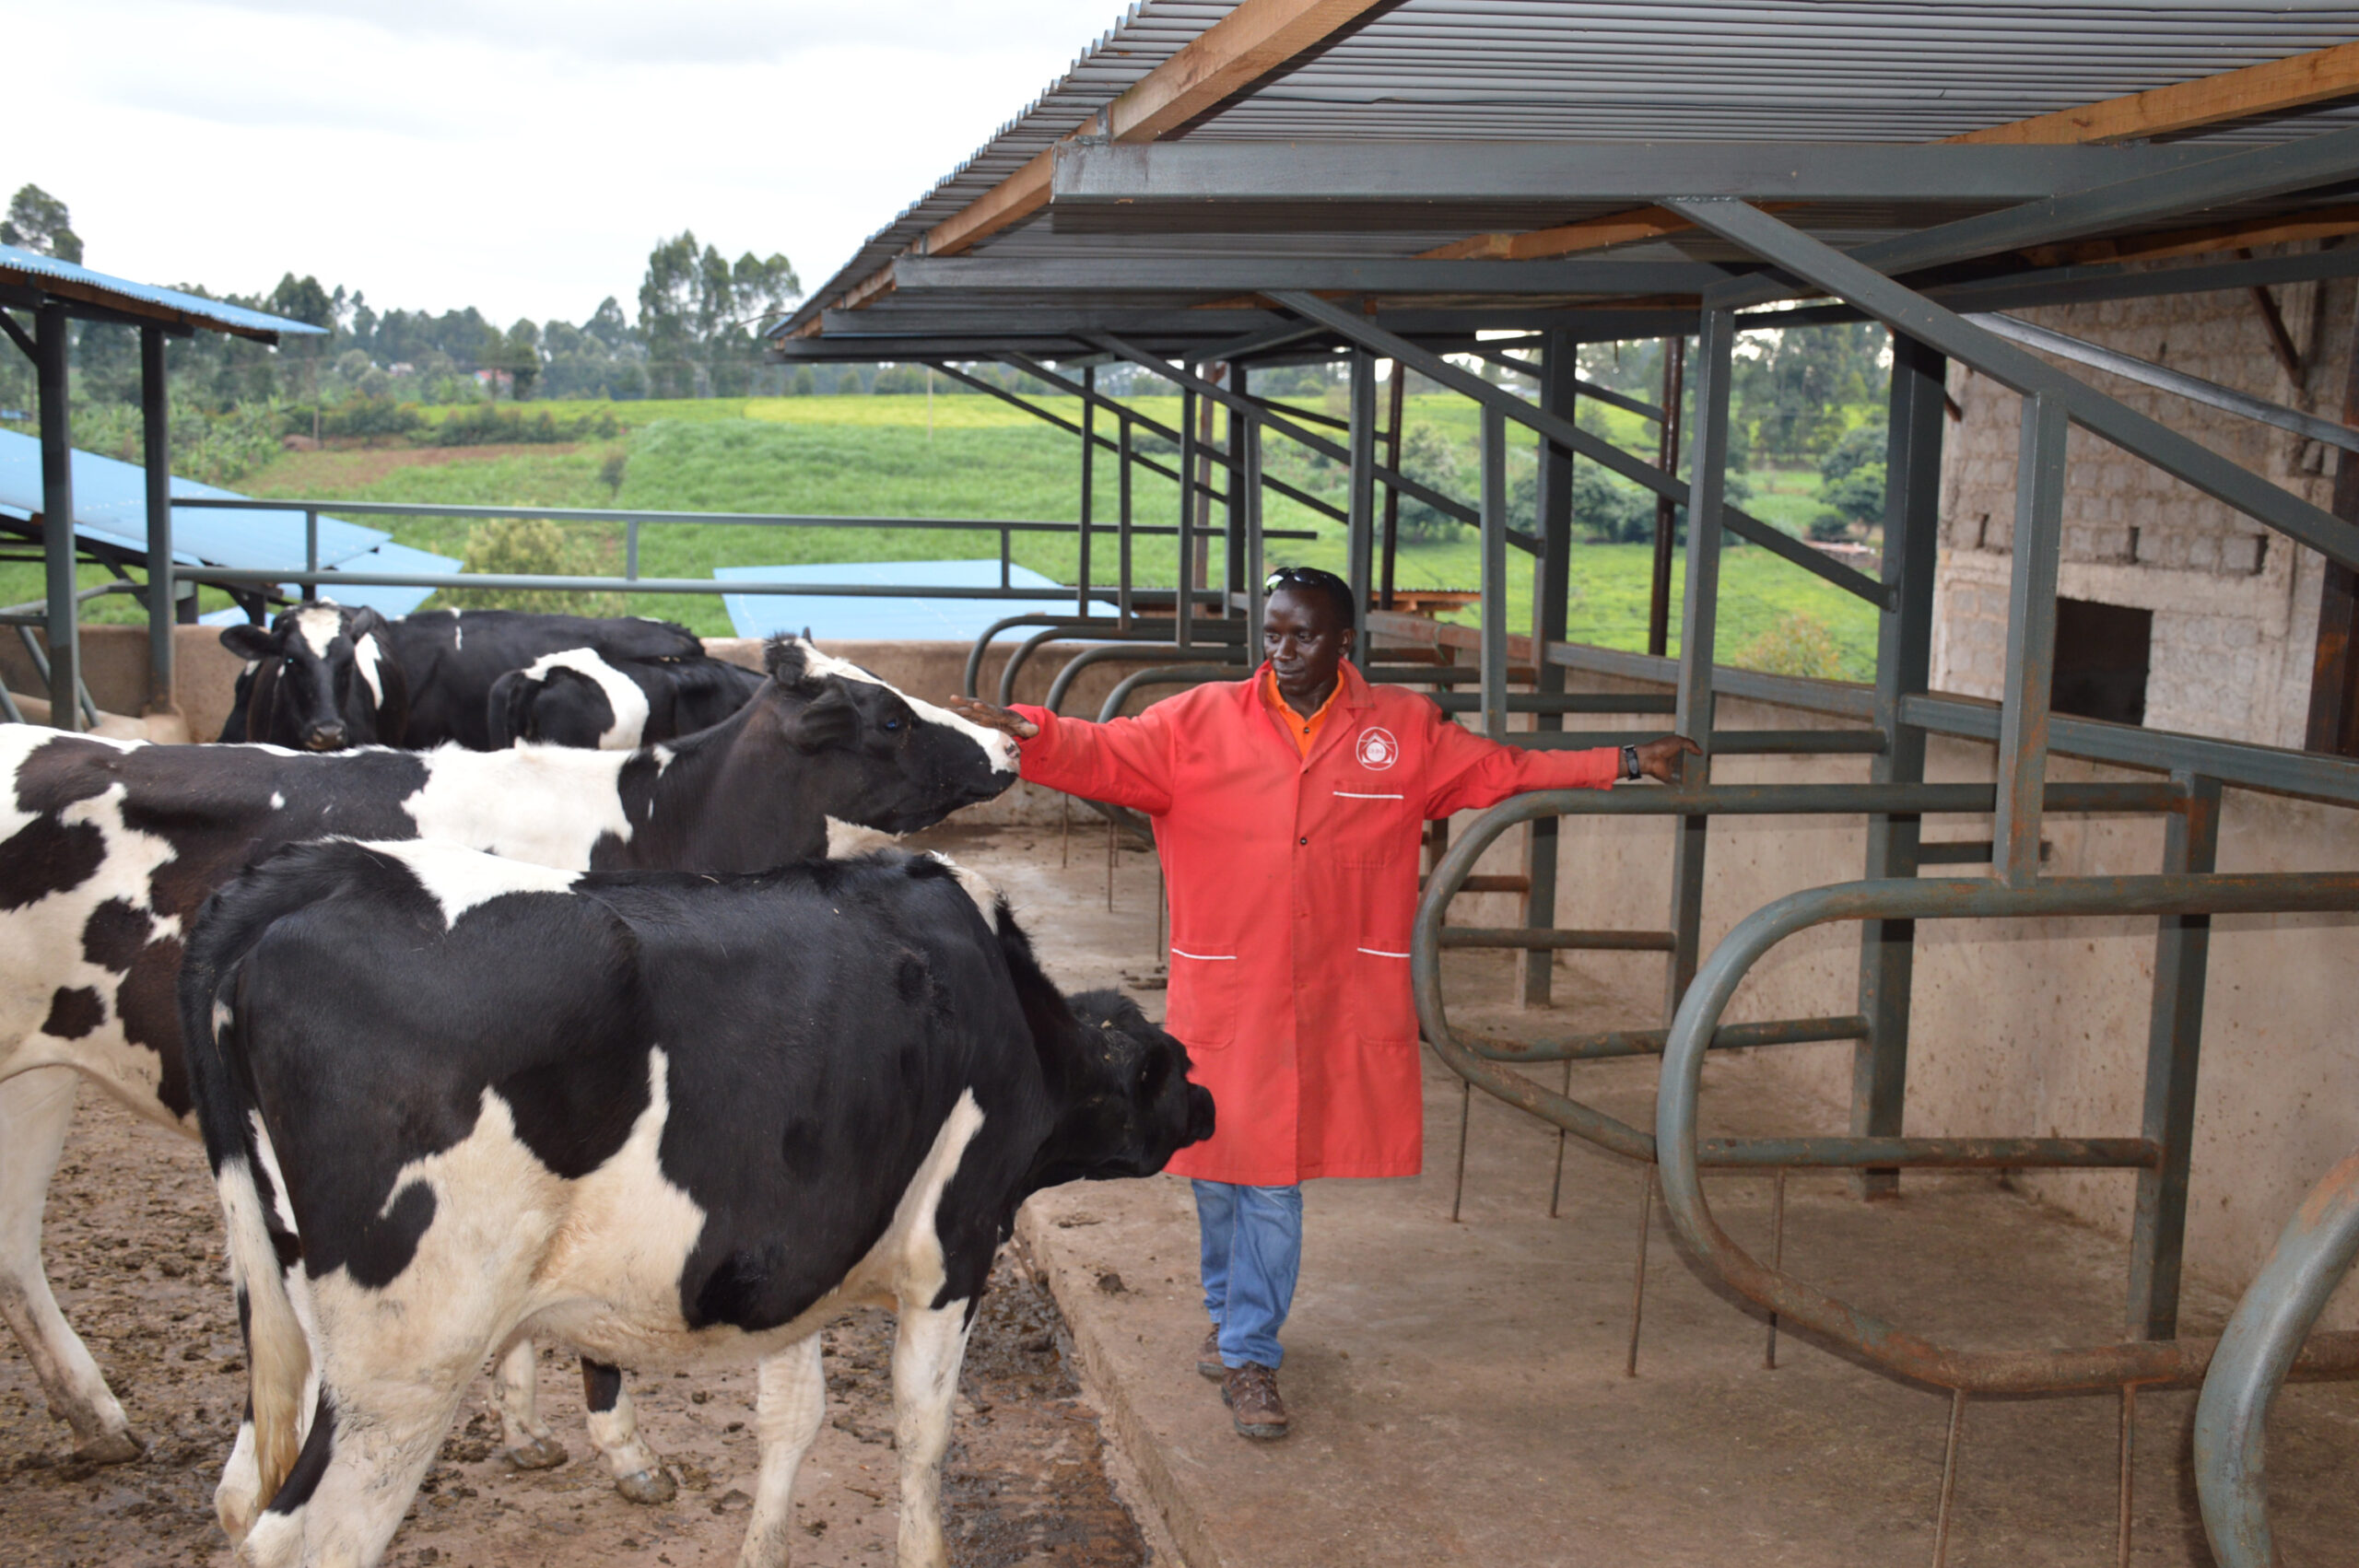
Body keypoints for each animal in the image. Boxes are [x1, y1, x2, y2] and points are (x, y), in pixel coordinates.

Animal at [0, 631, 1014, 1490]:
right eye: (891, 717)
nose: (1006, 745)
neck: (657, 821)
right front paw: (624, 1448)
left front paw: (524, 1426)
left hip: (37, 1077)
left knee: (13, 1246)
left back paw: (98, 1419)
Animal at [179, 844, 1216, 1565]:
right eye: (1171, 1067)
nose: (1208, 1105)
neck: (1011, 1014)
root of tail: (325, 871)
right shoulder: (952, 1247)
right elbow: (922, 1433)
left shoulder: (793, 1258)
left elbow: (792, 1416)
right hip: (410, 1356)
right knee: (308, 1533)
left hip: (299, 1315)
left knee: (241, 1495)